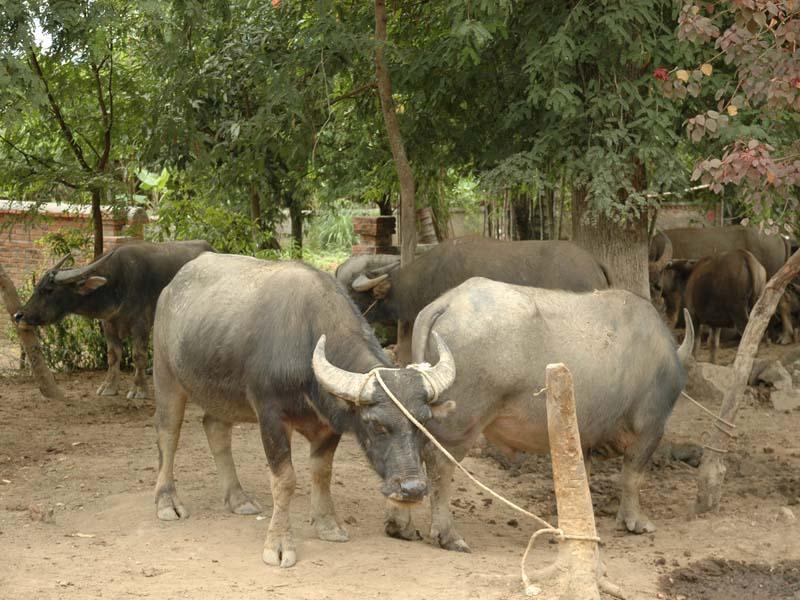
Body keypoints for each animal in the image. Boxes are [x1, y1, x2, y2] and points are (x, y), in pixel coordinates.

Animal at [16, 240, 216, 404]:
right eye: (37, 286)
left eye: (49, 290)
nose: (19, 315)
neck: (116, 284)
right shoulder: (108, 324)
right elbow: (113, 355)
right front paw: (108, 387)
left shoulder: (141, 324)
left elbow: (139, 356)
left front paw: (139, 389)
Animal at [153, 253, 456, 568]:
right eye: (376, 424)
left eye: (424, 423)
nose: (413, 489)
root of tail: (171, 288)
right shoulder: (271, 416)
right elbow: (285, 479)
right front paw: (278, 543)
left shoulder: (329, 425)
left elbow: (322, 472)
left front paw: (328, 525)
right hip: (165, 373)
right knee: (168, 433)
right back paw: (167, 501)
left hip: (221, 394)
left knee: (215, 428)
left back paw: (238, 498)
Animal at [382, 278, 692, 552]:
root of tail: (446, 302)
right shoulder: (651, 428)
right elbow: (633, 475)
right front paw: (635, 522)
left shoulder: (583, 434)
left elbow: (578, 478)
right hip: (463, 420)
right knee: (439, 462)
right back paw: (448, 535)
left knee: (408, 452)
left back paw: (401, 526)